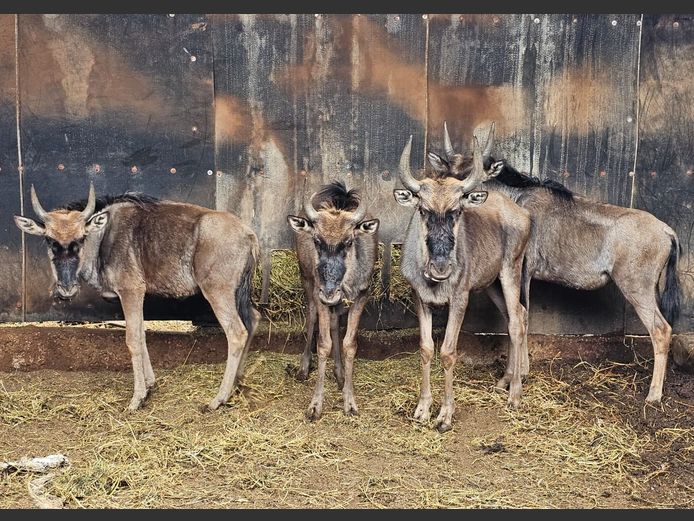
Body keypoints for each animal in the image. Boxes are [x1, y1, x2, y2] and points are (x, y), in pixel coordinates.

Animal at [14, 183, 261, 411]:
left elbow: (132, 340)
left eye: (81, 238)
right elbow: (142, 336)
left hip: (217, 292)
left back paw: (218, 399)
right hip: (237, 294)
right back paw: (237, 382)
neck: (104, 237)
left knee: (237, 333)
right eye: (49, 240)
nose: (67, 289)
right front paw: (150, 385)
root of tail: (248, 235)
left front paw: (137, 399)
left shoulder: (131, 291)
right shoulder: (137, 295)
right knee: (254, 319)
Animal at [287, 182, 379, 420]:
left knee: (336, 324)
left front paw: (349, 400)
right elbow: (323, 343)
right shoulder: (318, 294)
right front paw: (315, 405)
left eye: (348, 241)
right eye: (317, 240)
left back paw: (339, 374)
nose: (329, 291)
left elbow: (349, 344)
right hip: (307, 281)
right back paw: (303, 368)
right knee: (311, 318)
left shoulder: (361, 297)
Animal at [393, 135, 531, 432]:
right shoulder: (421, 299)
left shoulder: (460, 299)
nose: (441, 268)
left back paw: (515, 394)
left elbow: (447, 352)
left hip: (510, 272)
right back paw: (505, 380)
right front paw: (423, 409)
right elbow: (426, 349)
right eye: (423, 209)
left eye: (456, 210)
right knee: (516, 315)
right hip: (492, 285)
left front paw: (445, 415)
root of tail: (523, 214)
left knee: (516, 321)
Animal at [434, 121, 682, 404]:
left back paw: (653, 395)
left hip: (636, 289)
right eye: (448, 174)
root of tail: (667, 231)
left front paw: (516, 376)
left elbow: (521, 317)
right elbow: (514, 316)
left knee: (661, 330)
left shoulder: (523, 272)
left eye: (474, 178)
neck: (516, 201)